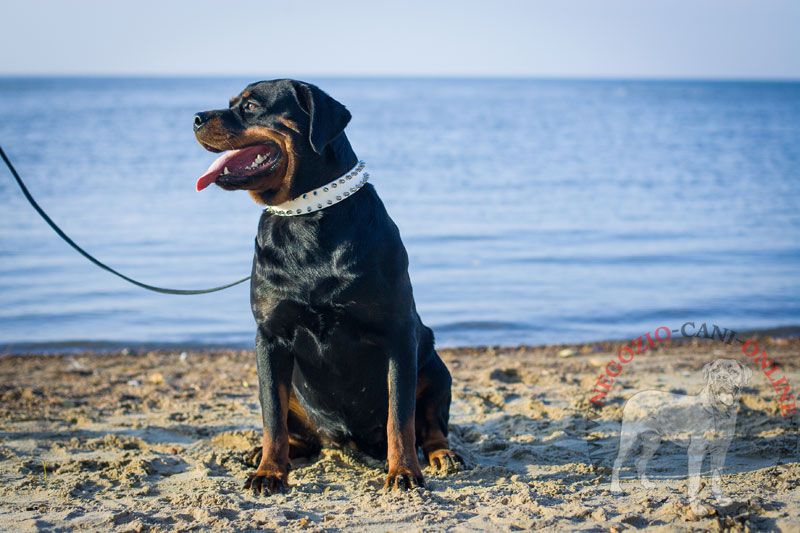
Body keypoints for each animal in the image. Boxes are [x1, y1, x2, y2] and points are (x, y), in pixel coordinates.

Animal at [191, 77, 460, 492]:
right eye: (232, 102)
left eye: (250, 106)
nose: (196, 118)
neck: (304, 215)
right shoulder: (270, 337)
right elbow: (272, 419)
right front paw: (269, 471)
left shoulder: (398, 334)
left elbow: (400, 417)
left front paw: (403, 471)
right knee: (292, 427)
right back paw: (263, 454)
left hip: (433, 366)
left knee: (430, 424)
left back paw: (441, 454)